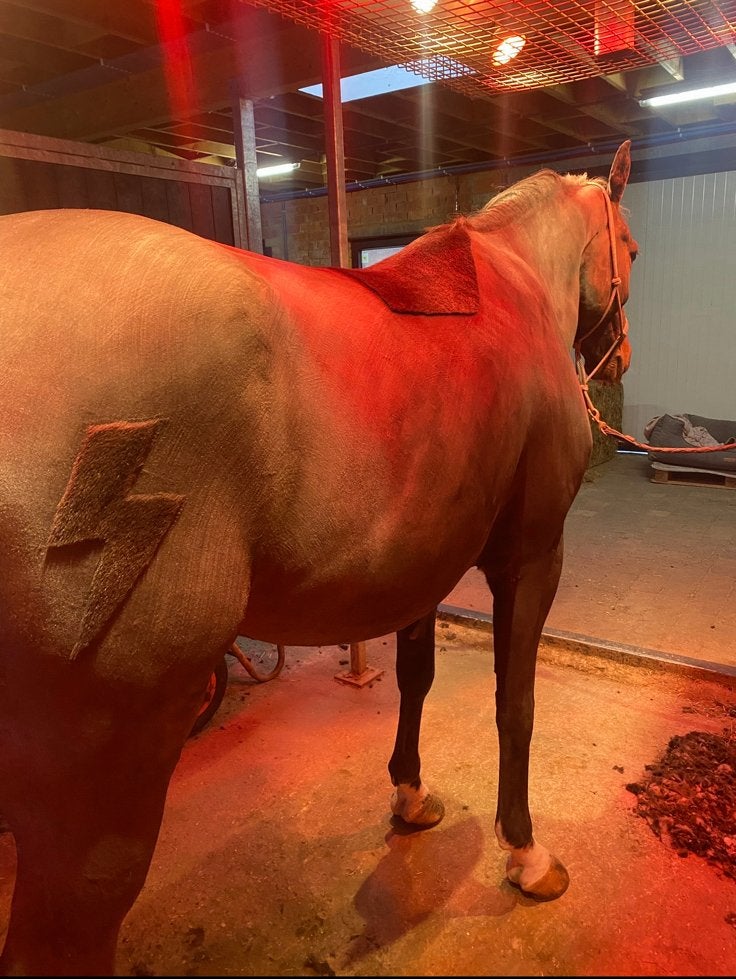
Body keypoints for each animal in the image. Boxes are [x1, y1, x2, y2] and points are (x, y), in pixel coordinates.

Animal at [0, 140, 636, 976]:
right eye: (631, 246)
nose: (621, 358)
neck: (512, 286)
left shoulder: (422, 566)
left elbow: (415, 679)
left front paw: (410, 796)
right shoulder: (531, 559)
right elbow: (516, 703)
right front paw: (527, 855)